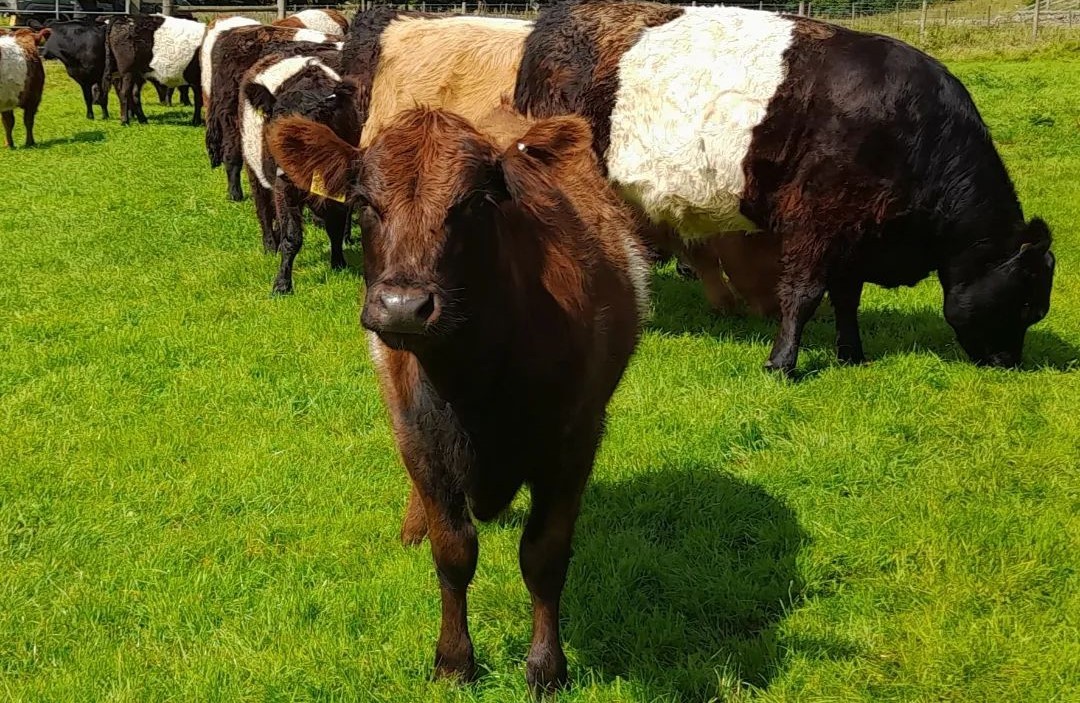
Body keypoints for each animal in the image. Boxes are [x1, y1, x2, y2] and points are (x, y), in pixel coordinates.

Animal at [238, 50, 360, 291]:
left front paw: (339, 264)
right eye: (275, 122)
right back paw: (270, 247)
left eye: (314, 125)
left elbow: (336, 226)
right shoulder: (284, 186)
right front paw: (282, 284)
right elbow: (292, 236)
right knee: (263, 209)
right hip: (254, 170)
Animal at [266, 107, 643, 691]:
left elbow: (544, 556)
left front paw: (545, 667)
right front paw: (453, 660)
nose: (403, 306)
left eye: (473, 204)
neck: (475, 385)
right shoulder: (419, 438)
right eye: (363, 203)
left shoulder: (575, 441)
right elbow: (454, 552)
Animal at [514, 1, 1054, 373]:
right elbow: (804, 294)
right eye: (1029, 303)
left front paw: (851, 353)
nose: (1008, 363)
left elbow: (846, 297)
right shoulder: (816, 219)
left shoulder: (855, 232)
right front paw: (781, 363)